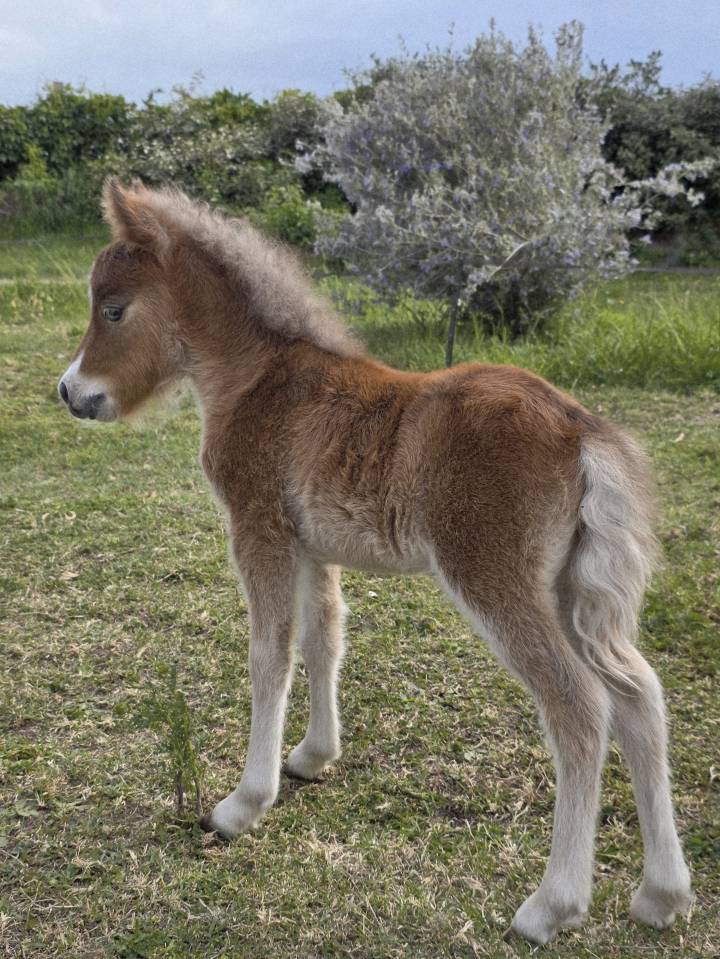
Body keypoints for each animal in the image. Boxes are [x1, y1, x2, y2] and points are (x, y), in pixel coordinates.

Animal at [58, 179, 692, 944]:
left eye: (113, 308)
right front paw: (313, 756)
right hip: (574, 591)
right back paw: (662, 893)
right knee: (639, 696)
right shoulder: (311, 547)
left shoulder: (259, 531)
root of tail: (582, 429)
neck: (256, 379)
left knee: (580, 708)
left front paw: (243, 803)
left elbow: (269, 654)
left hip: (497, 579)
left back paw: (552, 905)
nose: (71, 391)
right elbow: (323, 637)